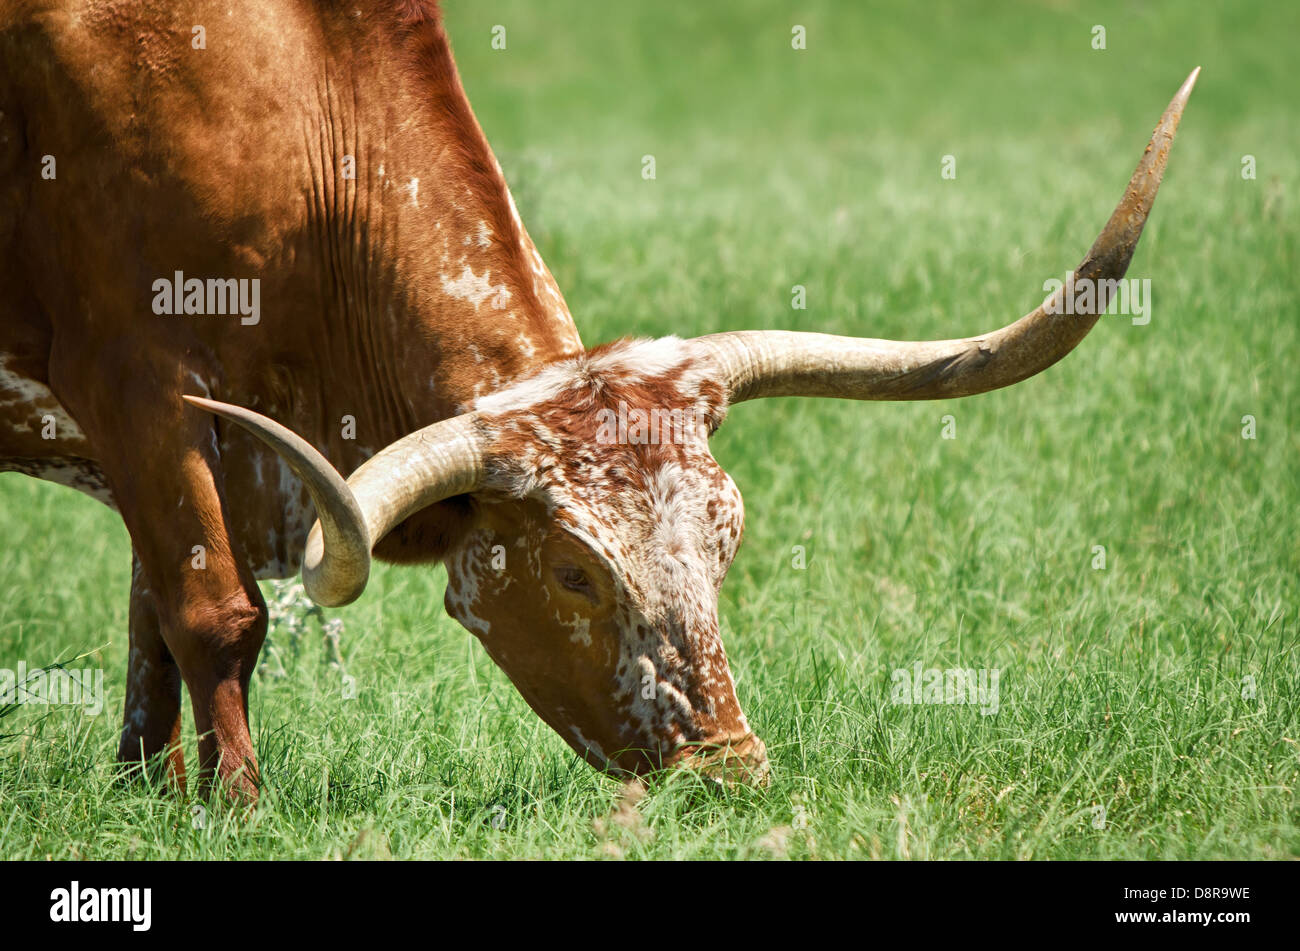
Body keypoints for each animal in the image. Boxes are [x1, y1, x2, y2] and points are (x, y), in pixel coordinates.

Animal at [0, 0, 1196, 800]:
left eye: (727, 539)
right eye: (574, 572)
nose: (730, 775)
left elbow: (154, 619)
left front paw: (152, 793)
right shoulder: (135, 384)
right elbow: (216, 614)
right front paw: (238, 809)